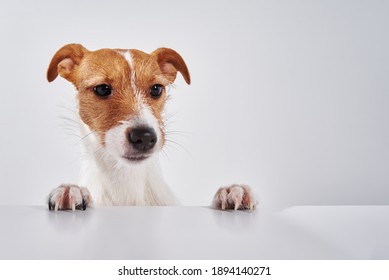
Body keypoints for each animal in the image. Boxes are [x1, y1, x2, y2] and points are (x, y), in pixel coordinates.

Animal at [45, 43, 255, 210]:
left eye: (156, 89)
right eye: (102, 89)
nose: (144, 137)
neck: (127, 180)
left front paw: (230, 192)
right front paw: (72, 191)